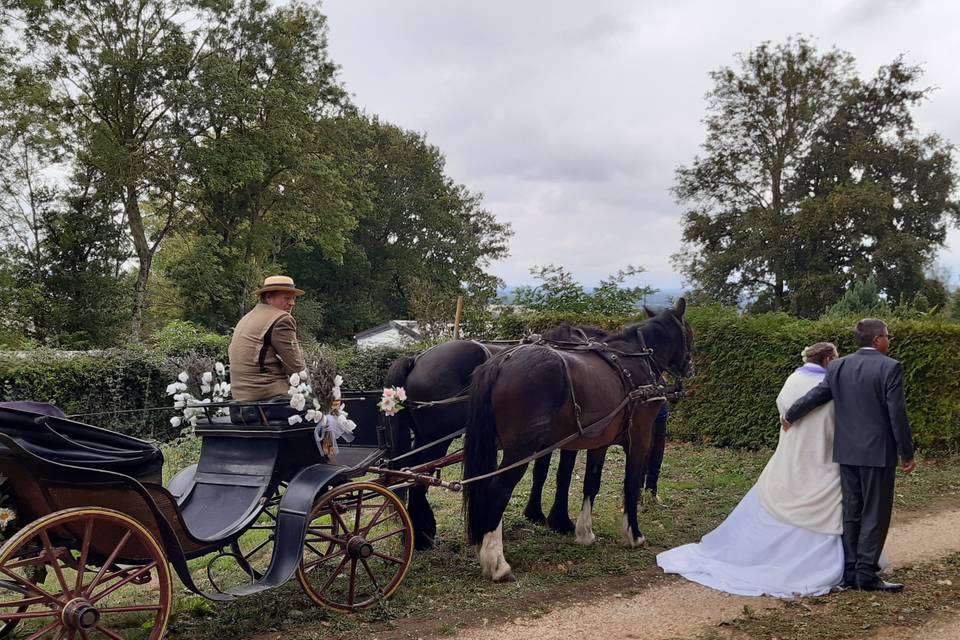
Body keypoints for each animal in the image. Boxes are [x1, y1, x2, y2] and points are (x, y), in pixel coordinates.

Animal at [384, 324, 604, 552]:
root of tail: (417, 358)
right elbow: (564, 474)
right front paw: (561, 521)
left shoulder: (542, 437)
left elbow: (541, 472)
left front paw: (534, 513)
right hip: (437, 439)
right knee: (418, 476)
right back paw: (422, 536)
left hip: (423, 438)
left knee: (409, 472)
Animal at [464, 300, 688, 580]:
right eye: (689, 333)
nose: (689, 367)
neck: (636, 362)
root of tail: (502, 361)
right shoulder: (640, 436)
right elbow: (631, 482)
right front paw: (634, 534)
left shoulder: (599, 441)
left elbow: (591, 482)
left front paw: (584, 532)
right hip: (520, 450)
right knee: (497, 491)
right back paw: (497, 563)